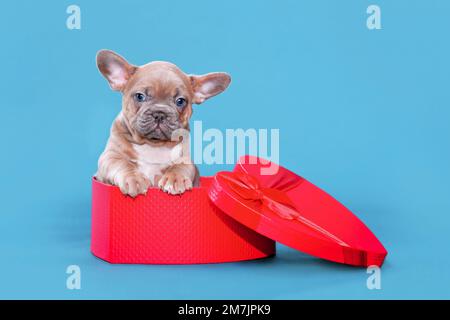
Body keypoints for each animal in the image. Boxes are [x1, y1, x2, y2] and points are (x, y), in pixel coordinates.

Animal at [94, 49, 229, 198]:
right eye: (140, 96)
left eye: (180, 101)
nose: (159, 113)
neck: (153, 145)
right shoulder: (109, 156)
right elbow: (121, 163)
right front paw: (134, 178)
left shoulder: (186, 160)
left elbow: (180, 166)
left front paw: (175, 178)